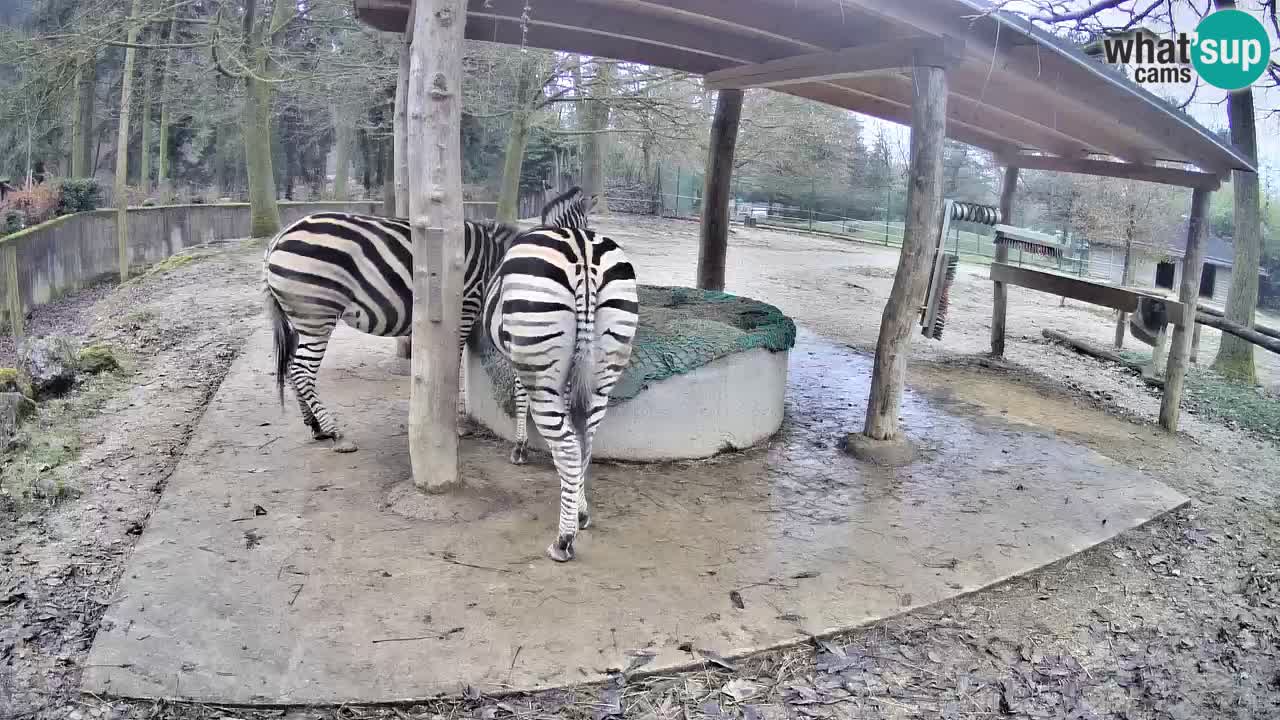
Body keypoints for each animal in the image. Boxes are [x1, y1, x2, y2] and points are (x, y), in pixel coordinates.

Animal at [479, 223, 639, 562]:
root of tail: (583, 249)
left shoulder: (519, 362)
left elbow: (520, 397)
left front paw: (520, 448)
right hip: (604, 368)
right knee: (584, 441)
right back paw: (579, 512)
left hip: (539, 362)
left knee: (567, 445)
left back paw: (564, 539)